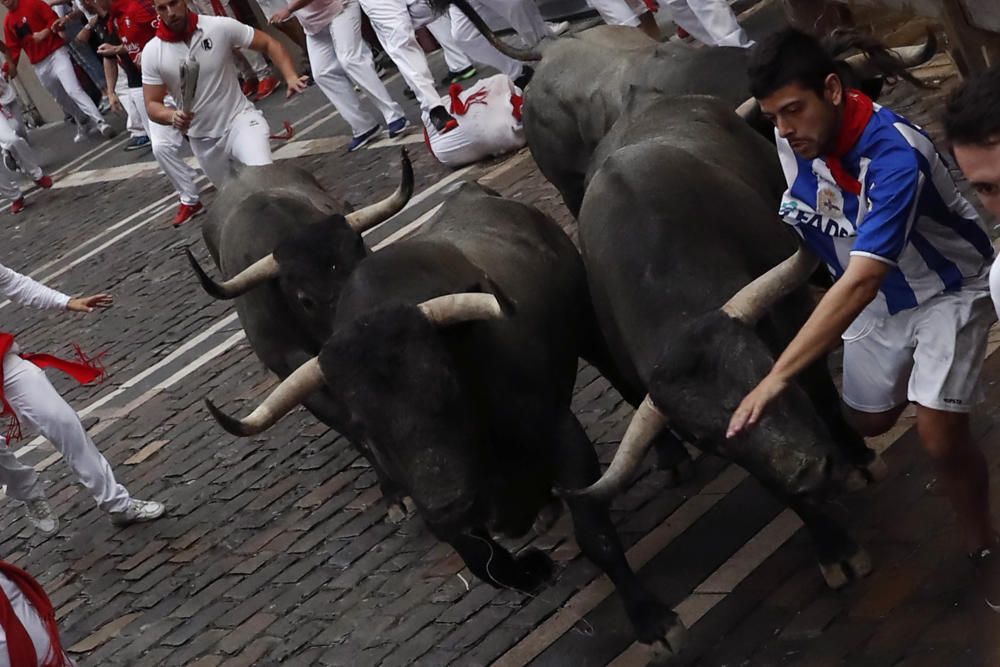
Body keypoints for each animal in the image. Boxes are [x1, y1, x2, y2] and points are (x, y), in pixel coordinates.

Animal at [205, 184, 688, 664]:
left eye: (445, 382)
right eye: (364, 422)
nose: (449, 504)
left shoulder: (560, 434)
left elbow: (596, 533)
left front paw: (652, 621)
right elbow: (483, 562)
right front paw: (531, 569)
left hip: (590, 327)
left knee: (624, 382)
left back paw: (671, 457)